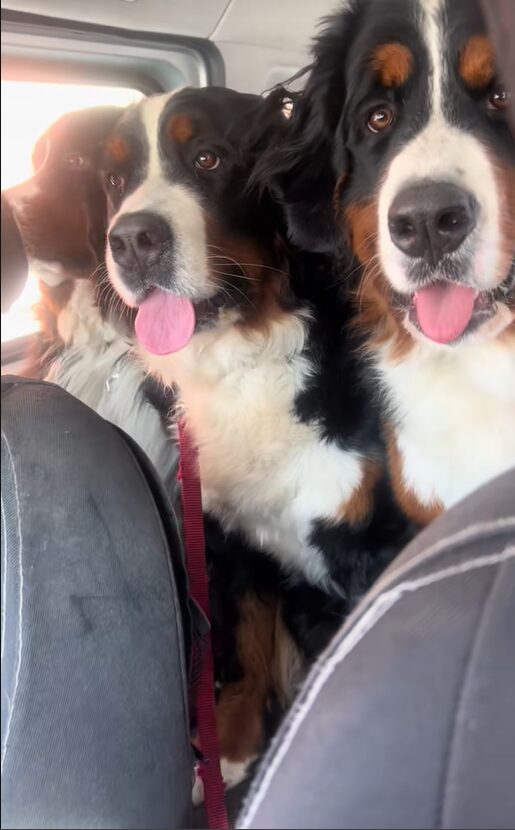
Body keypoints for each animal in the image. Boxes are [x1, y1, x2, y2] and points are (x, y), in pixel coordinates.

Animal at [102, 85, 412, 789]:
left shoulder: (376, 539)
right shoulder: (227, 532)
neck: (247, 357)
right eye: (114, 181)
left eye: (209, 158)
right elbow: (245, 638)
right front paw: (234, 742)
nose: (131, 240)